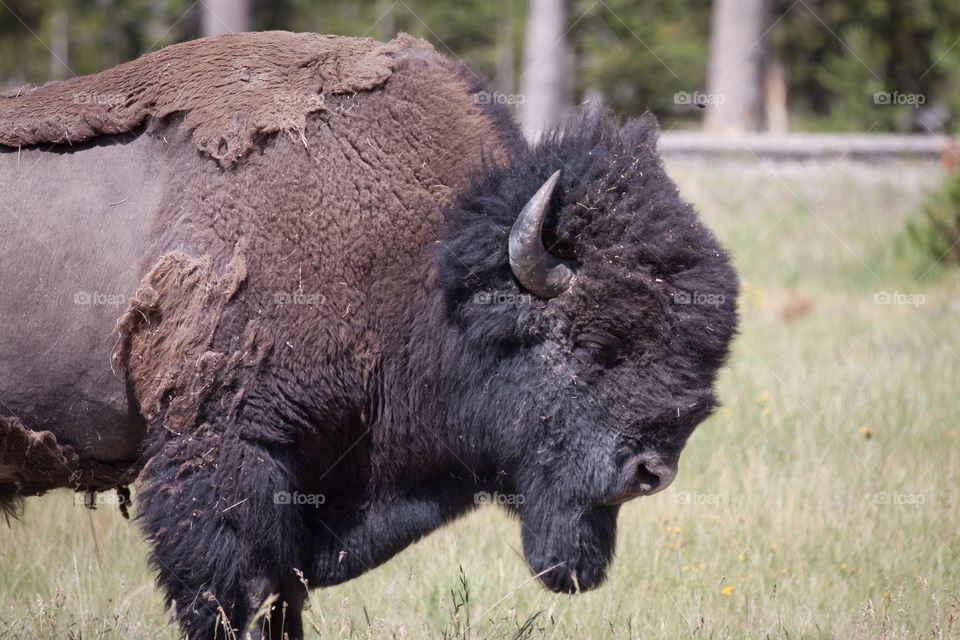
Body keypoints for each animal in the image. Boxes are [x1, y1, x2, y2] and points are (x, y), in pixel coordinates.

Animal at [0, 31, 738, 640]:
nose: (651, 472)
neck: (426, 268)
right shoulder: (224, 458)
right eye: (594, 347)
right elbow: (237, 598)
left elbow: (284, 600)